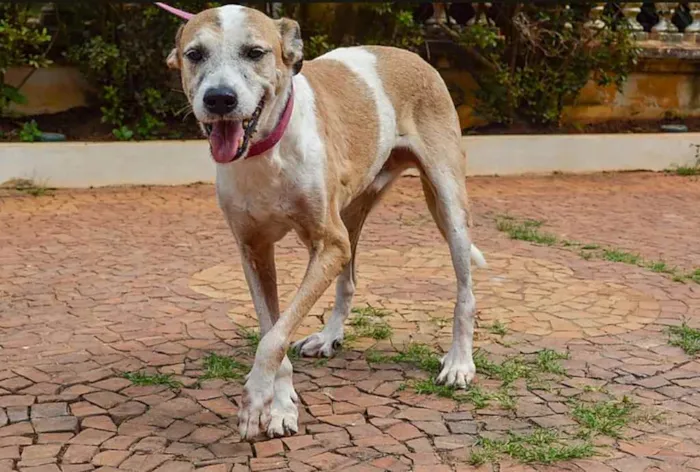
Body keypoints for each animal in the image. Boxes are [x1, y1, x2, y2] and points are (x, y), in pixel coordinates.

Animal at [168, 3, 486, 440]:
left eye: (255, 52)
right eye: (195, 54)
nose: (219, 99)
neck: (268, 151)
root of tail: (411, 54)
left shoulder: (329, 242)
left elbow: (273, 339)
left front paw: (255, 400)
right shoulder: (254, 251)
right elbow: (273, 329)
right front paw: (280, 405)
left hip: (447, 203)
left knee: (465, 291)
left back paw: (458, 363)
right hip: (350, 216)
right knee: (348, 281)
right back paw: (331, 336)